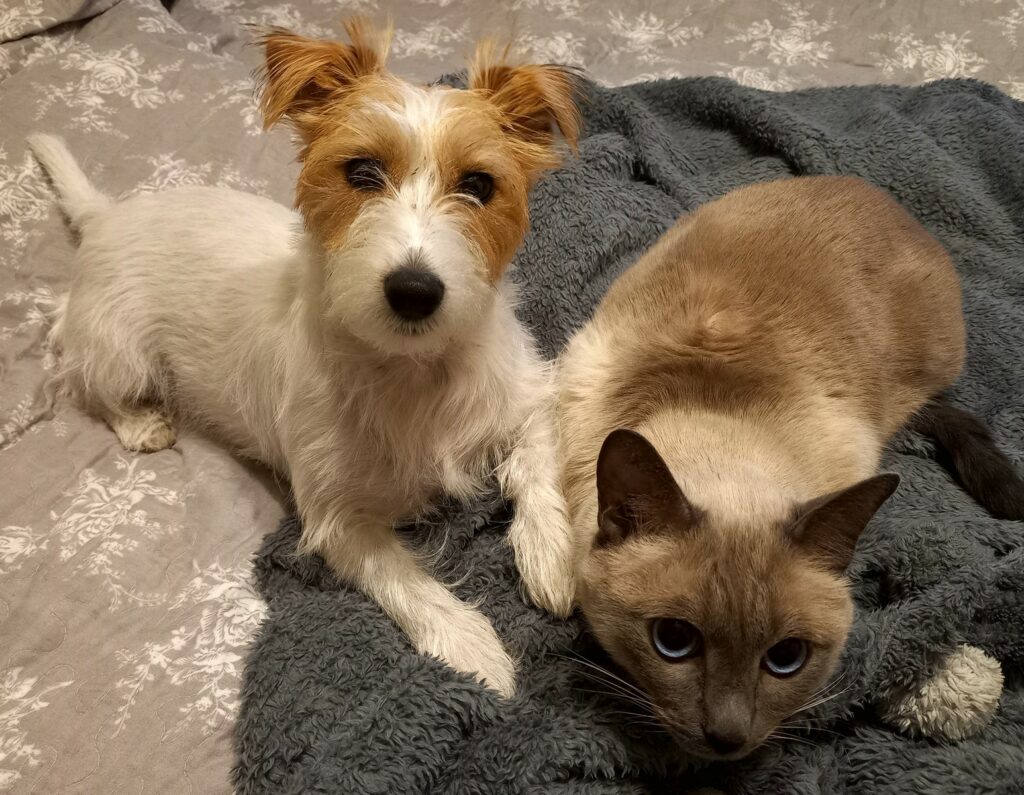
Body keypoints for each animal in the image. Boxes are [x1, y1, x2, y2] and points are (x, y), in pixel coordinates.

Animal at [29, 19, 581, 697]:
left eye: (479, 185)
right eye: (362, 172)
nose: (414, 290)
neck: (413, 368)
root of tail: (107, 214)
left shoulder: (527, 395)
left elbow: (536, 462)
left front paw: (551, 556)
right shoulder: (337, 517)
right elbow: (408, 583)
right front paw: (470, 648)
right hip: (118, 349)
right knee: (81, 379)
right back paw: (139, 422)